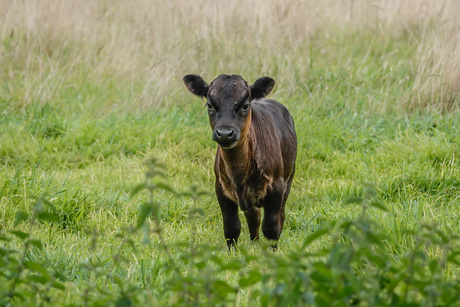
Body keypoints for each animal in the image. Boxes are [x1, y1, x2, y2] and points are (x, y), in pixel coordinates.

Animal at [181, 75, 296, 250]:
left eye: (245, 106)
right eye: (210, 105)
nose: (224, 133)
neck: (239, 173)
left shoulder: (276, 186)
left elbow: (271, 227)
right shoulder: (221, 188)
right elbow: (231, 227)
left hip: (289, 178)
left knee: (280, 215)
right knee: (253, 216)